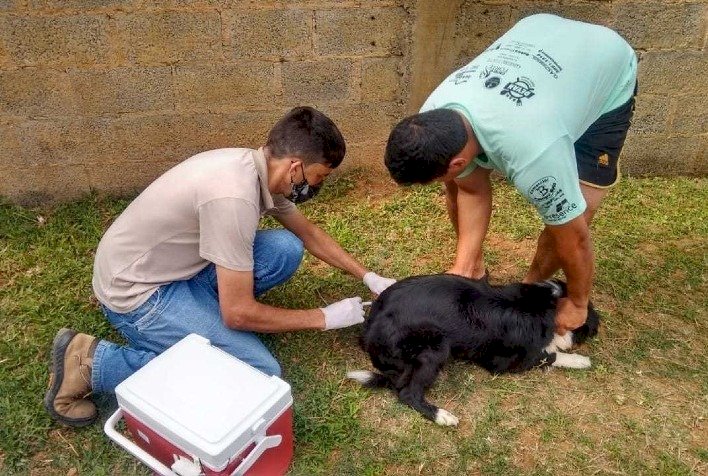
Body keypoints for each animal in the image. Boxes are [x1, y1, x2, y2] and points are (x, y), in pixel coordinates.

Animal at [346, 274, 600, 426]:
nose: (597, 325)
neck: (537, 305)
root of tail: (367, 331)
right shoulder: (504, 362)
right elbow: (549, 355)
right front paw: (580, 359)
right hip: (435, 348)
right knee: (407, 393)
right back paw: (442, 416)